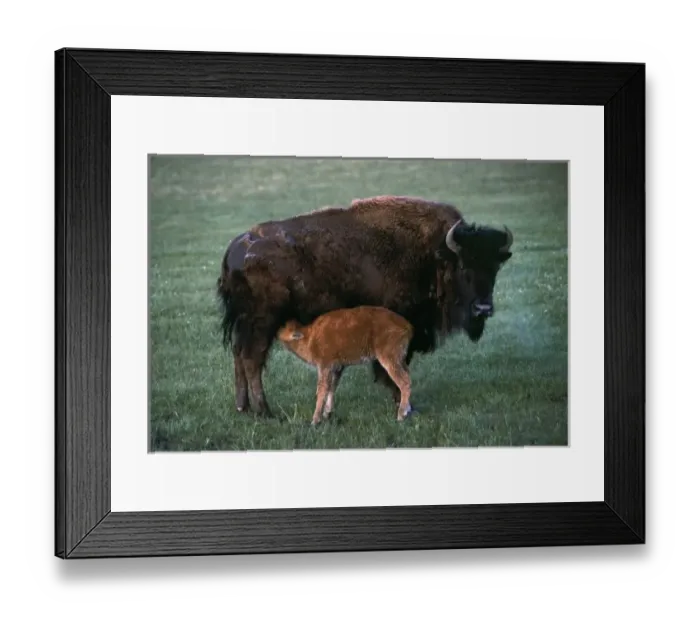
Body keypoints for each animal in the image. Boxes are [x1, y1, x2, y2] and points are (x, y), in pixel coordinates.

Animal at [276, 306, 414, 425]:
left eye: (286, 329)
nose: (277, 331)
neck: (310, 337)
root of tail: (407, 326)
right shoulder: (337, 367)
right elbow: (332, 386)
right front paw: (327, 413)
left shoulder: (325, 365)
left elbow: (322, 389)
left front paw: (315, 420)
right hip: (400, 359)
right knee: (408, 376)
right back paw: (408, 410)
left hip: (389, 358)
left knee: (404, 381)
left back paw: (401, 415)